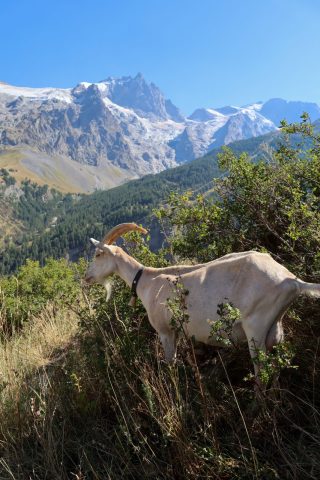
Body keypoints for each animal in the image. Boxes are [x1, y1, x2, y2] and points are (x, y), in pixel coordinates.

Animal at [84, 223, 320, 388]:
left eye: (97, 254)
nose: (86, 277)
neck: (145, 280)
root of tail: (291, 281)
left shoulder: (165, 330)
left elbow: (170, 362)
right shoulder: (179, 331)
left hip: (257, 327)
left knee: (262, 372)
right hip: (276, 328)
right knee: (277, 366)